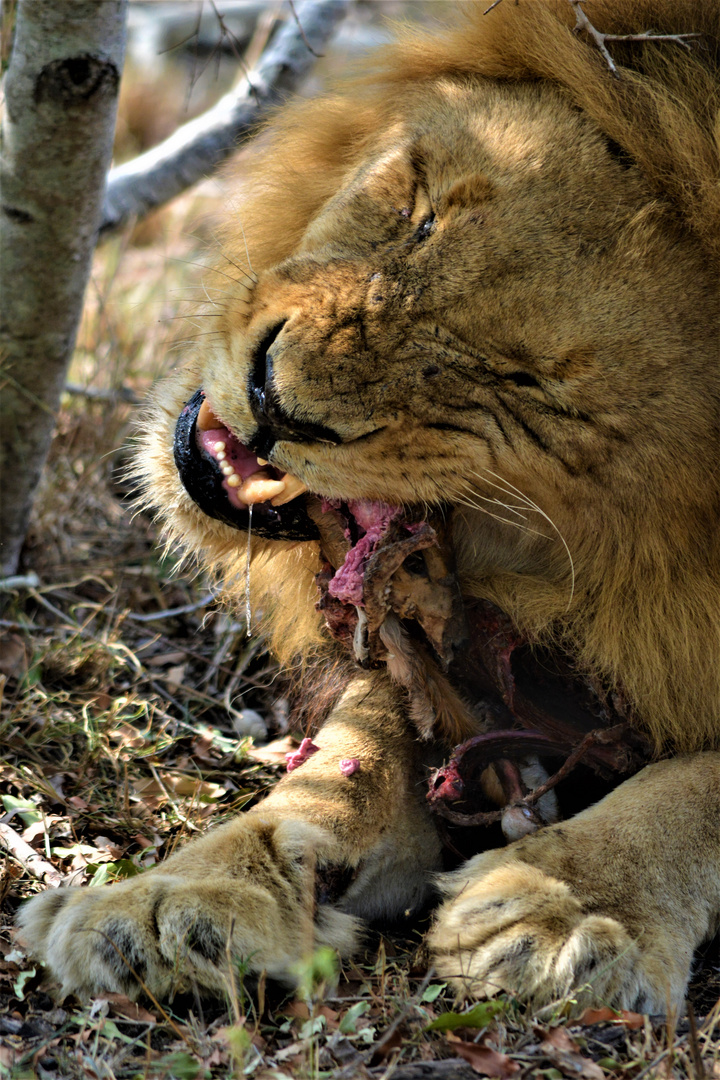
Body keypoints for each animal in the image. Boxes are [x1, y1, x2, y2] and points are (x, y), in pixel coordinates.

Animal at [16, 0, 720, 1010]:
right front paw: (187, 890)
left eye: (523, 383)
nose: (275, 403)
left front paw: (572, 905)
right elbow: (359, 744)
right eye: (421, 217)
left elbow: (698, 786)